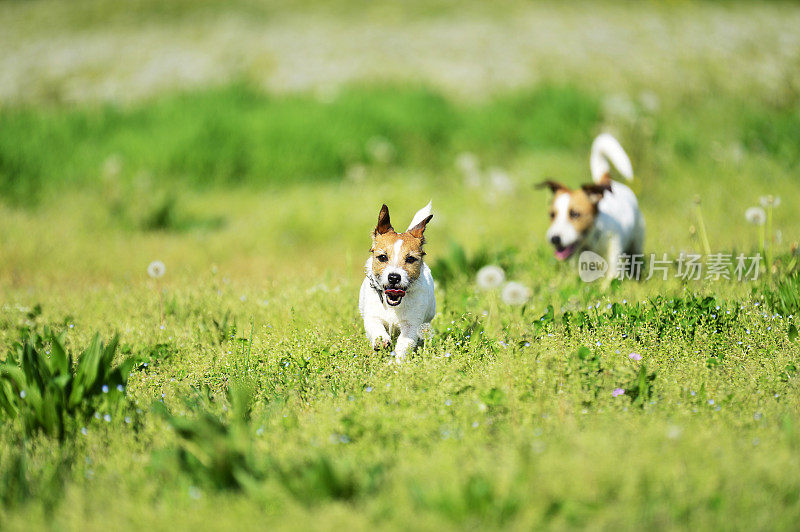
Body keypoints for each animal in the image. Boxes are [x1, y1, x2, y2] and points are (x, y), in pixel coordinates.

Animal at [360, 202, 434, 360]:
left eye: (410, 259)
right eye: (382, 257)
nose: (394, 277)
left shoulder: (411, 325)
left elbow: (404, 344)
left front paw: (396, 362)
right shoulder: (372, 317)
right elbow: (376, 327)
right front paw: (381, 340)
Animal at [536, 134, 644, 278]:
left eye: (575, 214)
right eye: (552, 215)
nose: (554, 239)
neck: (590, 241)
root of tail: (607, 182)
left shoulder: (614, 256)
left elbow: (611, 278)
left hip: (637, 241)